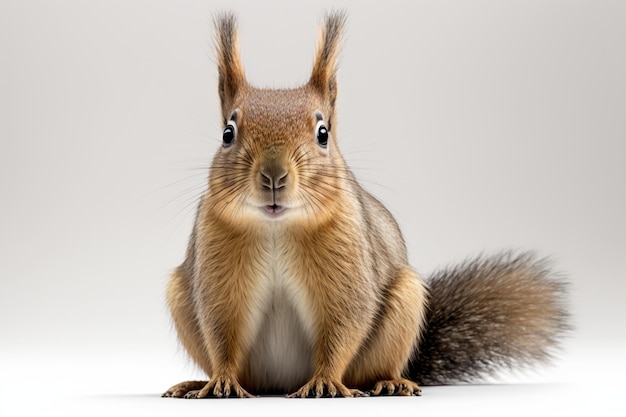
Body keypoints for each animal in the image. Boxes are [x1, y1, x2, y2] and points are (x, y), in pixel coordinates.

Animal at [160, 11, 564, 398]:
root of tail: (280, 386)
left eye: (323, 133)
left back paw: (389, 383)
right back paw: (194, 383)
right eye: (227, 134)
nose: (274, 176)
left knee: (371, 370)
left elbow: (344, 323)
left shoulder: (348, 265)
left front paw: (324, 382)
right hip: (182, 297)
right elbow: (220, 328)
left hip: (404, 304)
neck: (276, 228)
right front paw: (222, 381)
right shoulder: (218, 268)